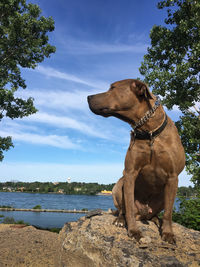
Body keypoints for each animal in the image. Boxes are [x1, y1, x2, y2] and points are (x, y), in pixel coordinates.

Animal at [88, 78, 185, 244]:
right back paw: (121, 220)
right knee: (124, 210)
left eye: (112, 88)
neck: (150, 132)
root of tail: (143, 212)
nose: (88, 97)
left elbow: (169, 213)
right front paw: (133, 231)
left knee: (155, 214)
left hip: (162, 196)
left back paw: (156, 220)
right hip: (118, 186)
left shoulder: (173, 177)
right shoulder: (130, 173)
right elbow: (129, 208)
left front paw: (168, 233)